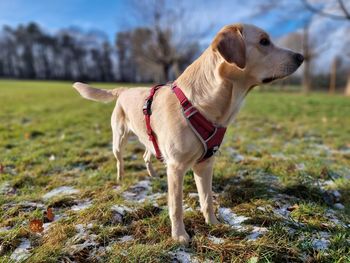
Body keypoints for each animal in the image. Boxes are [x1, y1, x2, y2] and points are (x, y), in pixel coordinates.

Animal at [74, 23, 304, 245]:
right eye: (264, 41)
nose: (301, 57)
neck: (202, 105)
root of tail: (123, 89)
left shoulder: (206, 164)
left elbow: (207, 200)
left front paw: (213, 224)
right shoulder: (177, 167)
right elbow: (176, 207)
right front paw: (179, 236)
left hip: (150, 139)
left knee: (146, 153)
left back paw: (153, 174)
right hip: (119, 139)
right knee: (120, 160)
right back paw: (121, 178)